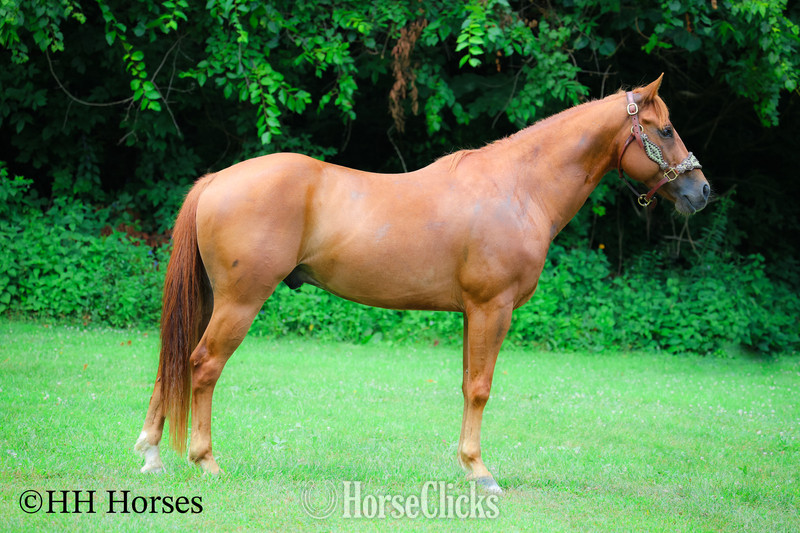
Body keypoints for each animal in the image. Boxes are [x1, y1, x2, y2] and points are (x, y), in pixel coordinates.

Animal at [135, 74, 709, 493]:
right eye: (663, 129)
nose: (701, 191)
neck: (517, 187)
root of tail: (217, 180)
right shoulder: (492, 308)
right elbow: (480, 387)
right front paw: (481, 473)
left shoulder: (472, 312)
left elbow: (466, 384)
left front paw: (466, 465)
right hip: (241, 301)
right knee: (202, 365)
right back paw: (206, 462)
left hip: (211, 298)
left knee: (173, 361)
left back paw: (151, 454)